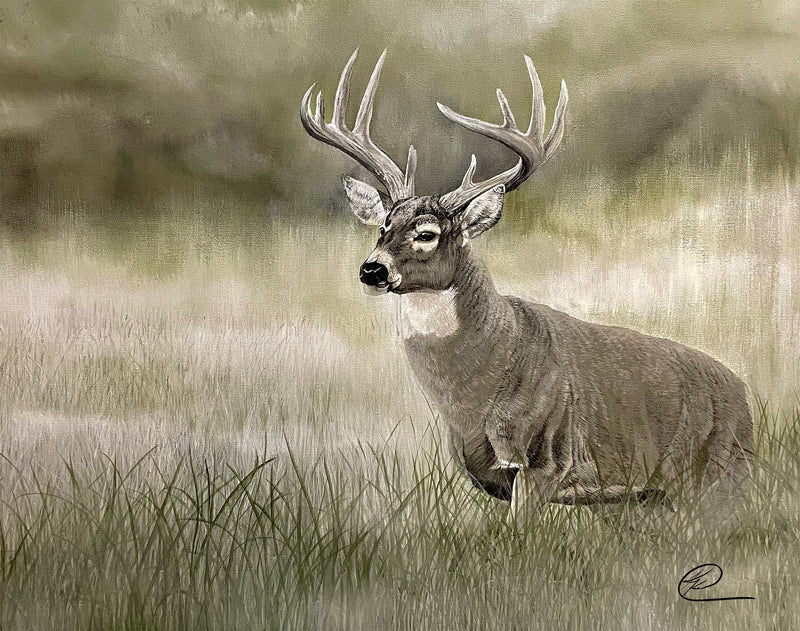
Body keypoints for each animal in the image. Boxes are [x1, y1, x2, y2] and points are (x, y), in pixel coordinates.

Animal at [300, 49, 753, 523]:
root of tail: (745, 396)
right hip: (646, 496)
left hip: (721, 476)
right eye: (383, 227)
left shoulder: (545, 459)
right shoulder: (491, 476)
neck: (474, 396)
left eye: (426, 233)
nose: (372, 271)